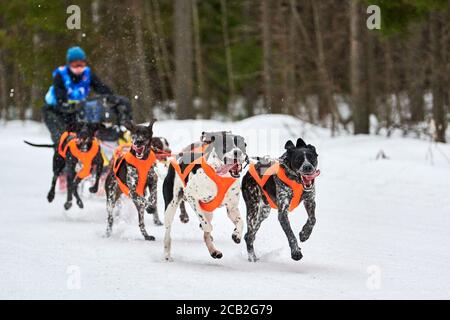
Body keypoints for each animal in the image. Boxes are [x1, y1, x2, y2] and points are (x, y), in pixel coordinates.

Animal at [162, 132, 248, 260]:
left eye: (242, 145)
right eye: (226, 145)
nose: (238, 152)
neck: (221, 176)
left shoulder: (232, 208)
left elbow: (241, 222)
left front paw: (236, 234)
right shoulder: (191, 196)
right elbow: (207, 225)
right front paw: (207, 228)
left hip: (208, 211)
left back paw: (214, 251)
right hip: (171, 207)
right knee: (168, 232)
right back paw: (167, 254)